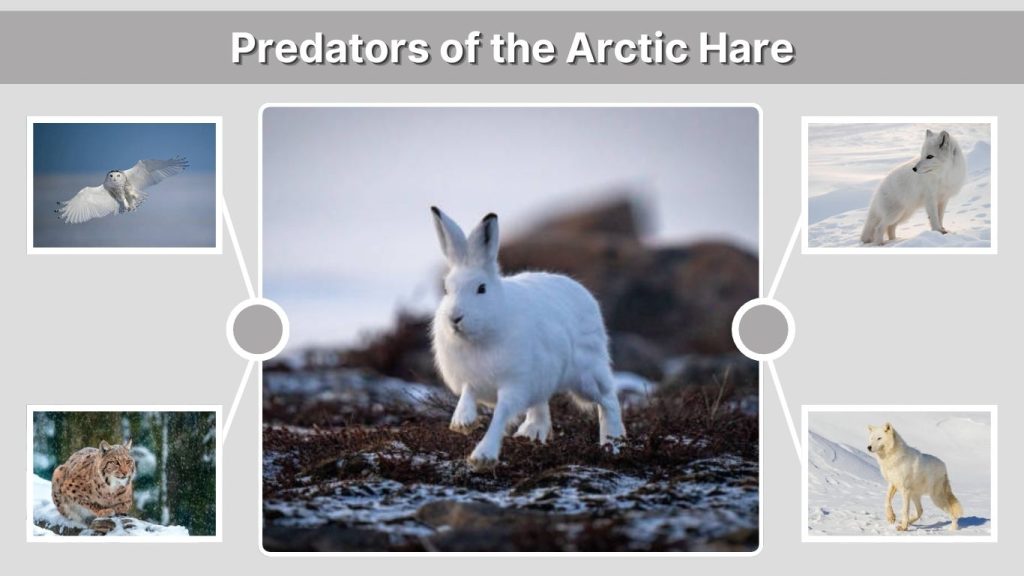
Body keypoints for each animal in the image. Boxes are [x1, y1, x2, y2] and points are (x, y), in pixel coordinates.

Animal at [429, 206, 626, 472]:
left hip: (586, 373)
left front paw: (482, 456)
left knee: (608, 400)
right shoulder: (470, 378)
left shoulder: (515, 384)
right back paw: (532, 432)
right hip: (544, 376)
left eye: (481, 288)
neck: (480, 335)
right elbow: (467, 394)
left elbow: (501, 414)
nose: (455, 318)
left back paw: (612, 443)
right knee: (541, 402)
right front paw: (462, 422)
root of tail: (583, 293)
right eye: (446, 290)